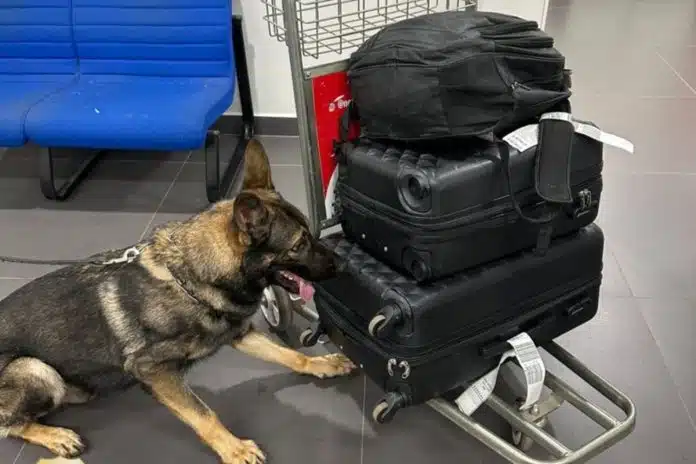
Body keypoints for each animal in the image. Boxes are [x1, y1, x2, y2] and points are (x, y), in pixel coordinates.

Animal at [0, 140, 354, 462]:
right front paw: (234, 449)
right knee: (10, 424)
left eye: (308, 233)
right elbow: (204, 415)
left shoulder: (239, 333)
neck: (193, 279)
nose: (342, 264)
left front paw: (321, 364)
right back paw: (56, 435)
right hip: (36, 369)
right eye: (298, 245)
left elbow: (288, 355)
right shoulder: (154, 371)